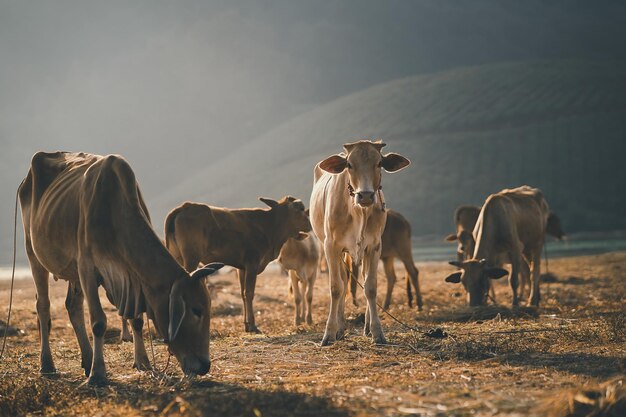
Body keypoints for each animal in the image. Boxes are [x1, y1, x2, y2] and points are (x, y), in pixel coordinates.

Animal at [18, 151, 222, 386]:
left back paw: (87, 360)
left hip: (72, 272)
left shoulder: (132, 280)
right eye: (196, 310)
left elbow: (137, 319)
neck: (114, 213)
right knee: (43, 306)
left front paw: (143, 362)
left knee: (73, 307)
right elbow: (98, 322)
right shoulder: (87, 268)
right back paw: (48, 365)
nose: (205, 365)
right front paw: (98, 374)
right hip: (33, 254)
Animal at [163, 195, 310, 332]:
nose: (309, 224)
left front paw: (246, 325)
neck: (270, 227)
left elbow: (243, 294)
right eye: (301, 209)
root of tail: (185, 206)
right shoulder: (252, 264)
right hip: (191, 258)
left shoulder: (242, 268)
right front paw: (252, 325)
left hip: (177, 257)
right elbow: (249, 293)